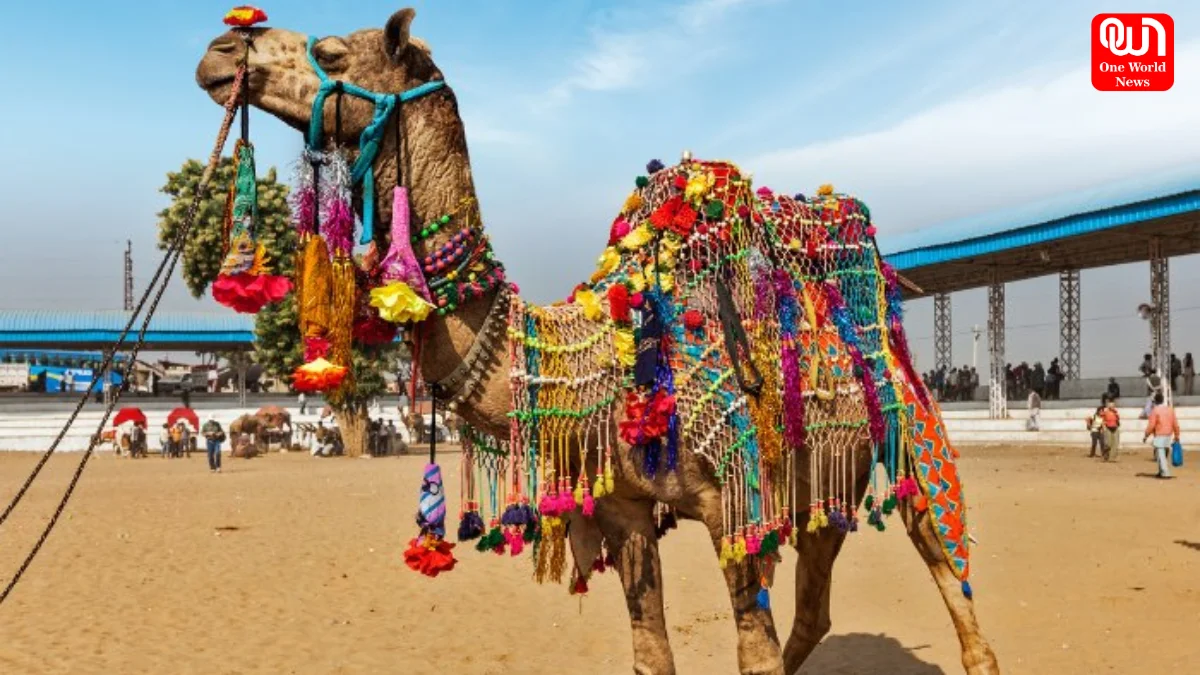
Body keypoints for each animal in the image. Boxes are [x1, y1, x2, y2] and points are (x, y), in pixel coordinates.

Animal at [196, 10, 999, 674]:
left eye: (332, 49)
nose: (222, 48)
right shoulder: (626, 511)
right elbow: (652, 653)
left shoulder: (730, 502)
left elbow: (755, 654)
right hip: (819, 480)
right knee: (816, 606)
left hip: (907, 434)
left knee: (950, 578)